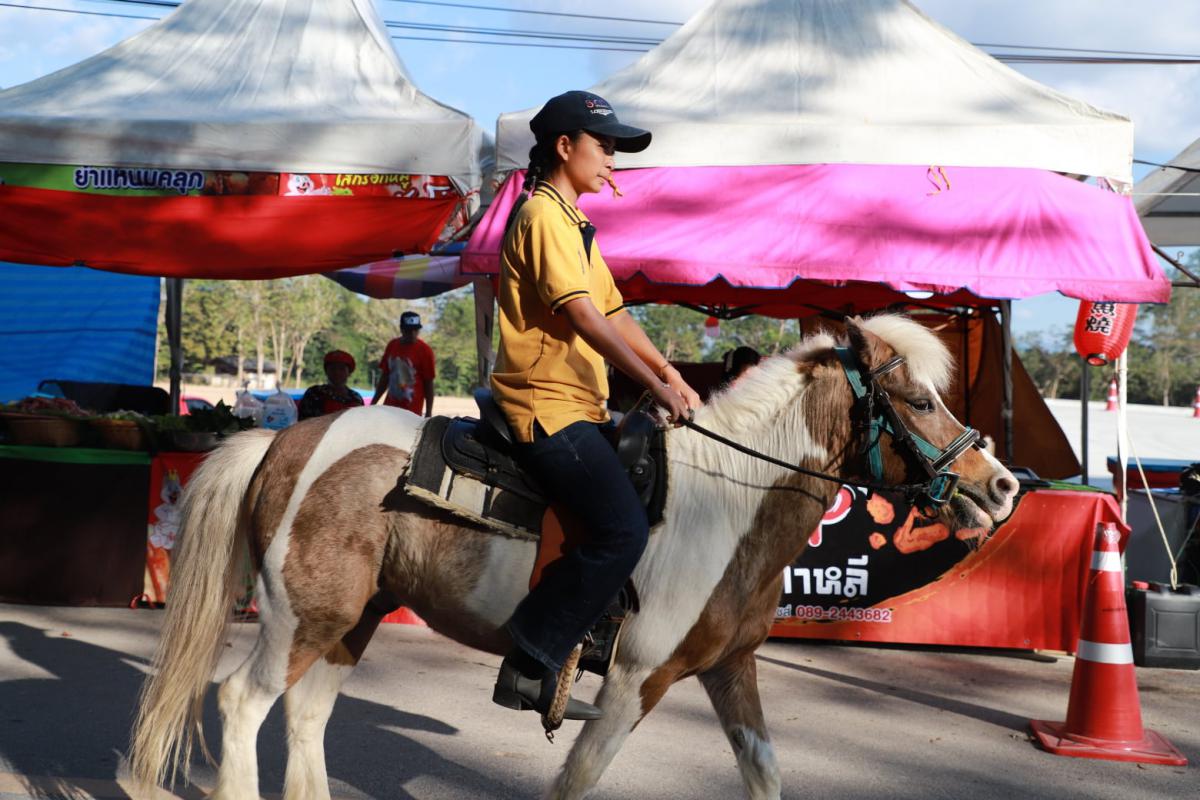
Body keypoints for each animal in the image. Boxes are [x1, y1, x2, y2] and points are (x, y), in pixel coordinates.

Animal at [129, 314, 1018, 800]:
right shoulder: (633, 685)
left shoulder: (730, 670)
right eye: (918, 401)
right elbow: (578, 781)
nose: (1002, 486)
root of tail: (285, 440)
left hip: (356, 618)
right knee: (243, 702)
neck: (727, 502)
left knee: (308, 715)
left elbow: (764, 773)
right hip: (304, 615)